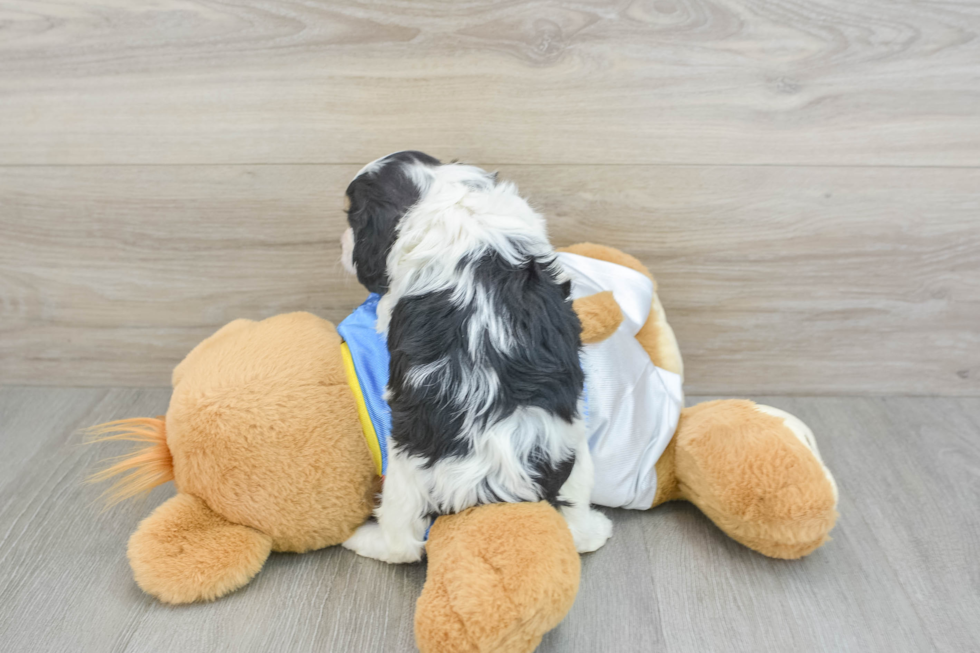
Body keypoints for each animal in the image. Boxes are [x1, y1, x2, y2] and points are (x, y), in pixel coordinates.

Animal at [340, 152, 608, 560]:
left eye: (352, 218)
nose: (341, 242)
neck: (445, 195)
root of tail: (496, 481)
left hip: (405, 470)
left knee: (403, 541)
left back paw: (364, 539)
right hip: (573, 453)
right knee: (574, 516)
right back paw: (595, 530)